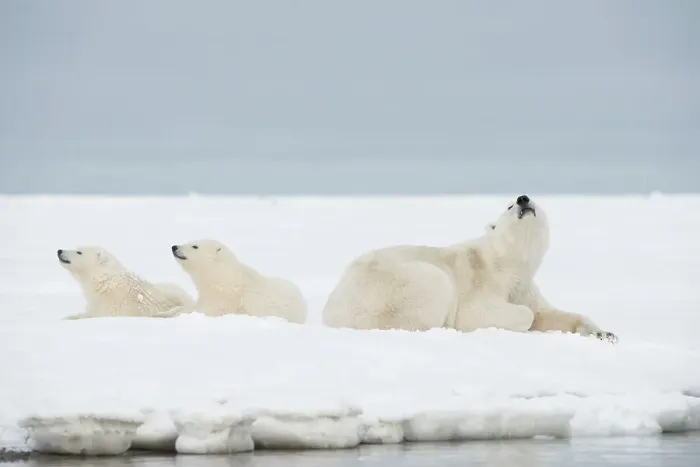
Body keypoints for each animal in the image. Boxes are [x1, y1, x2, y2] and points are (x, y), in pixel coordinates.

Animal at [57, 247, 194, 319]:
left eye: (79, 252)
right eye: (77, 249)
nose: (59, 251)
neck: (105, 281)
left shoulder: (110, 303)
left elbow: (94, 314)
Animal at [167, 239, 307, 324]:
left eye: (195, 246)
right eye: (192, 242)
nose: (174, 247)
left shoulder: (223, 298)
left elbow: (207, 310)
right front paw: (174, 310)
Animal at [321, 195, 617, 342]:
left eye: (533, 200)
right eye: (509, 205)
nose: (523, 198)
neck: (507, 263)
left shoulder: (524, 288)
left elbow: (547, 314)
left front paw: (604, 333)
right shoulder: (481, 283)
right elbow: (504, 314)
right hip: (392, 287)